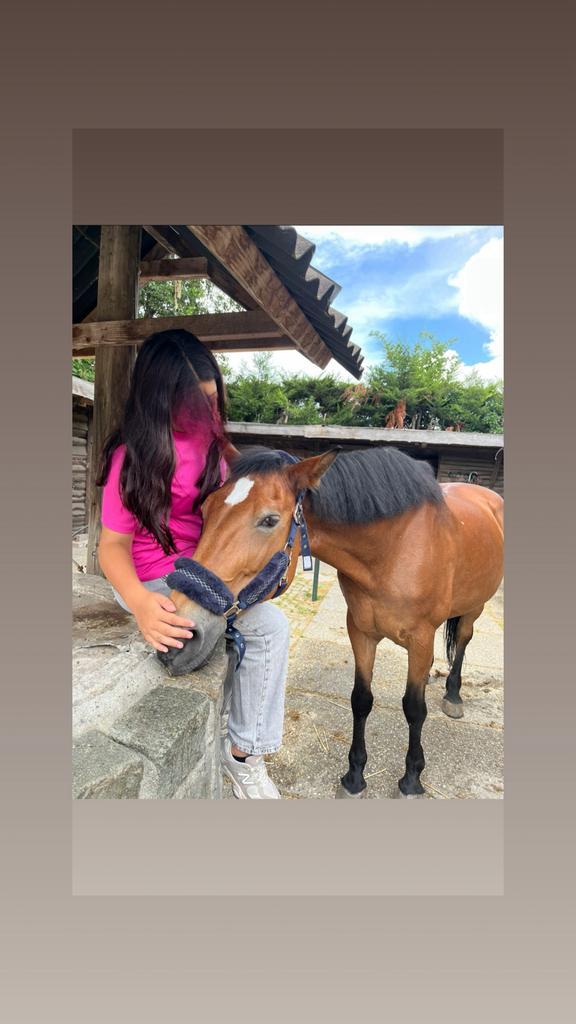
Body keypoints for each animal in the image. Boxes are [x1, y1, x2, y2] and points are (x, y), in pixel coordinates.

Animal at [160, 446, 504, 799]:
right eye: (206, 508)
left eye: (269, 520)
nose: (182, 630)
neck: (393, 550)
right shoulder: (361, 632)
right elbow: (361, 700)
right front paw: (354, 777)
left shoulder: (421, 639)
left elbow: (413, 708)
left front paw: (411, 779)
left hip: (474, 607)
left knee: (462, 641)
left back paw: (453, 695)